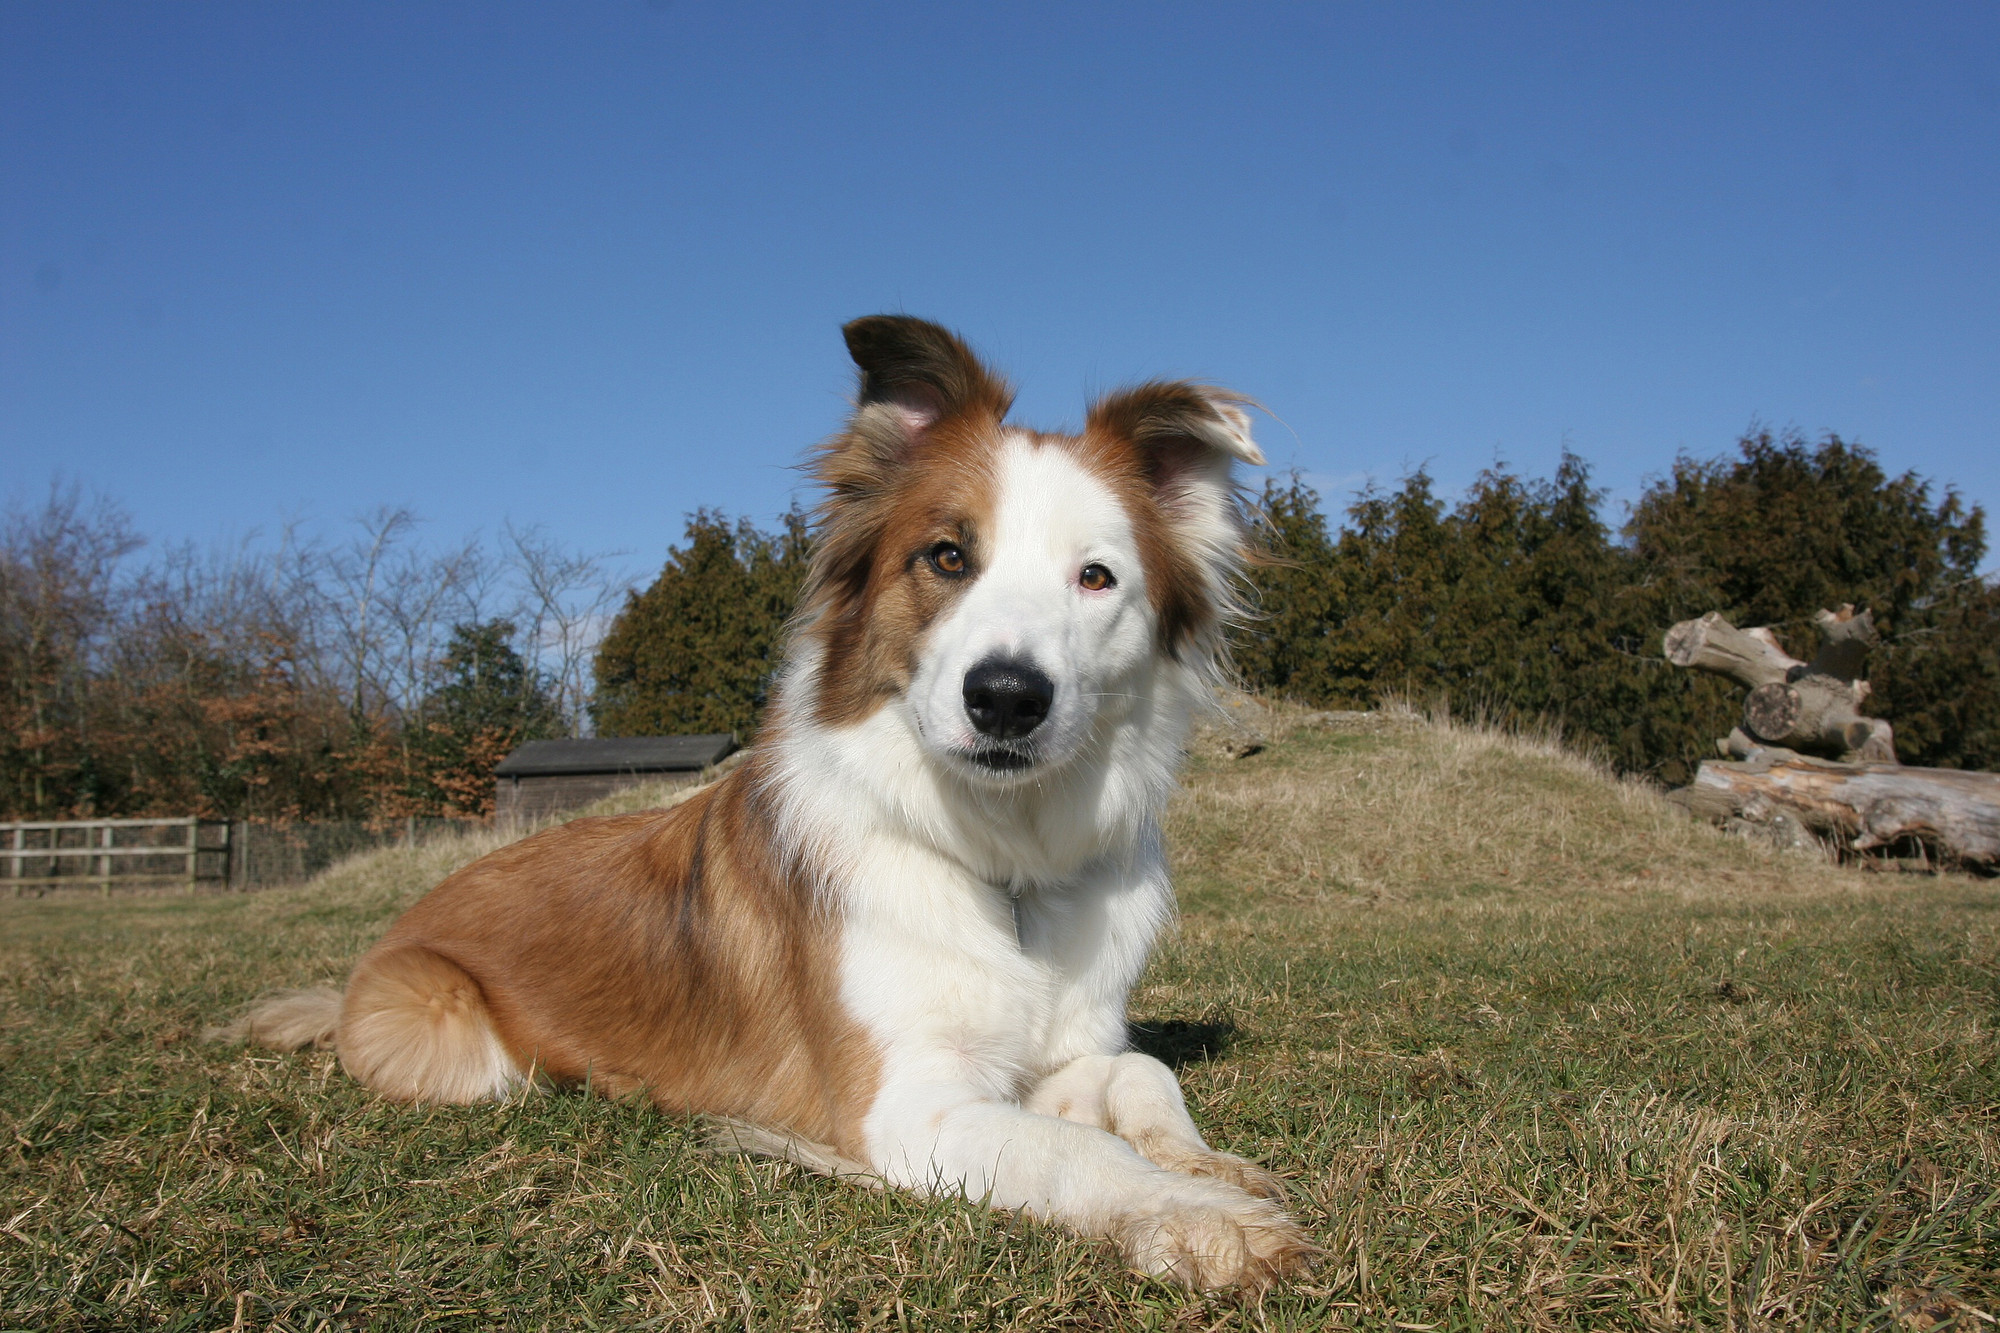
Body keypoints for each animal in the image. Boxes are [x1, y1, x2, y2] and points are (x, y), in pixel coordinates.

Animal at [230, 312, 1312, 1288]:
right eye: (946, 556)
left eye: (1096, 577)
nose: (1006, 697)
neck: (1003, 864)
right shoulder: (904, 1107)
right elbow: (1074, 1149)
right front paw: (1201, 1220)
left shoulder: (1064, 1046)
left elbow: (1140, 1071)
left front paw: (1210, 1166)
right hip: (451, 1035)